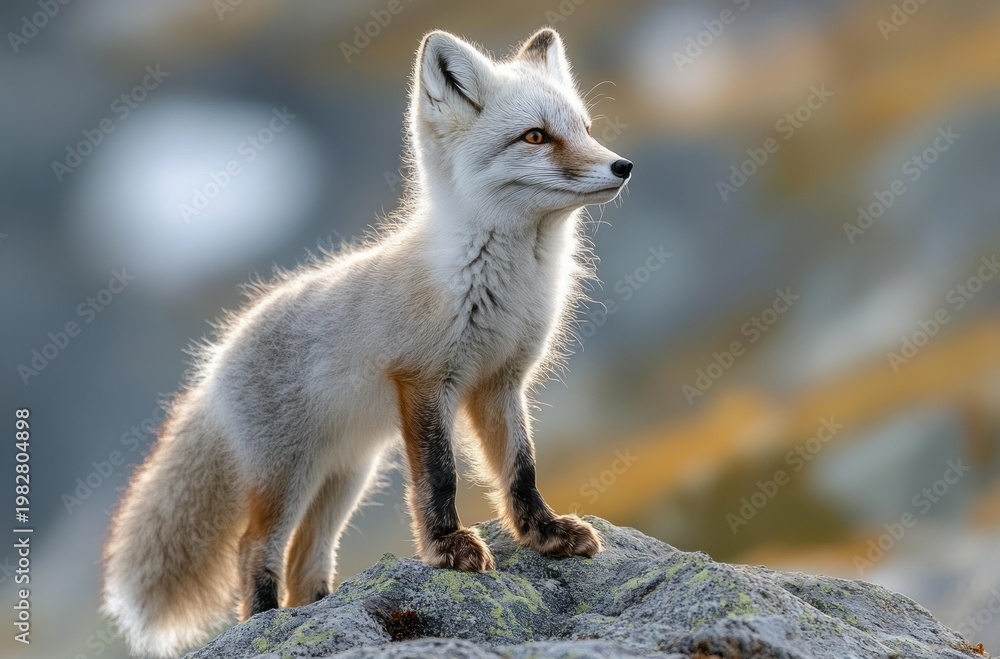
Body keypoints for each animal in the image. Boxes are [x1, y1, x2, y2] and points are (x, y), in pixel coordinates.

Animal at [102, 27, 632, 657]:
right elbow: (440, 477)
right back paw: (264, 621)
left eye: (585, 128)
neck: (499, 281)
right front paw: (447, 548)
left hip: (345, 476)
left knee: (304, 561)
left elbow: (521, 469)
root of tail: (218, 355)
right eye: (536, 137)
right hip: (288, 475)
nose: (623, 165)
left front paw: (543, 534)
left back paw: (319, 607)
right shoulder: (424, 379)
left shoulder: (500, 382)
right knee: (253, 548)